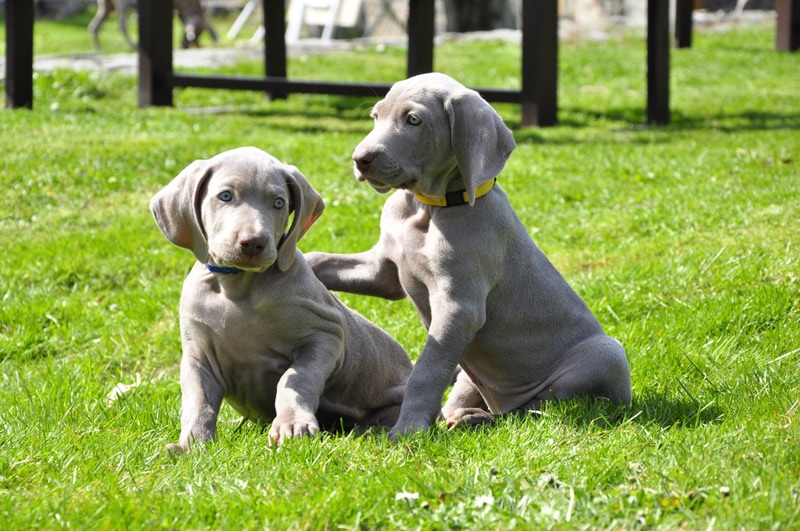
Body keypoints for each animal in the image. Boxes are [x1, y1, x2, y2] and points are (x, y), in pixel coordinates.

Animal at [151, 147, 412, 454]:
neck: (237, 287)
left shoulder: (327, 335)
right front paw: (192, 444)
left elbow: (293, 380)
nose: (254, 242)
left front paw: (292, 425)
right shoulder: (198, 356)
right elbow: (198, 400)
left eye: (278, 203)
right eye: (225, 196)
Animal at [306, 75, 632, 440]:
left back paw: (479, 418)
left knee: (535, 411)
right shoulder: (384, 271)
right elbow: (321, 259)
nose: (360, 159)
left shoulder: (459, 308)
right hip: (470, 374)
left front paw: (408, 430)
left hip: (606, 355)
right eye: (375, 116)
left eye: (413, 120)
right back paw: (465, 415)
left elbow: (427, 370)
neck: (429, 209)